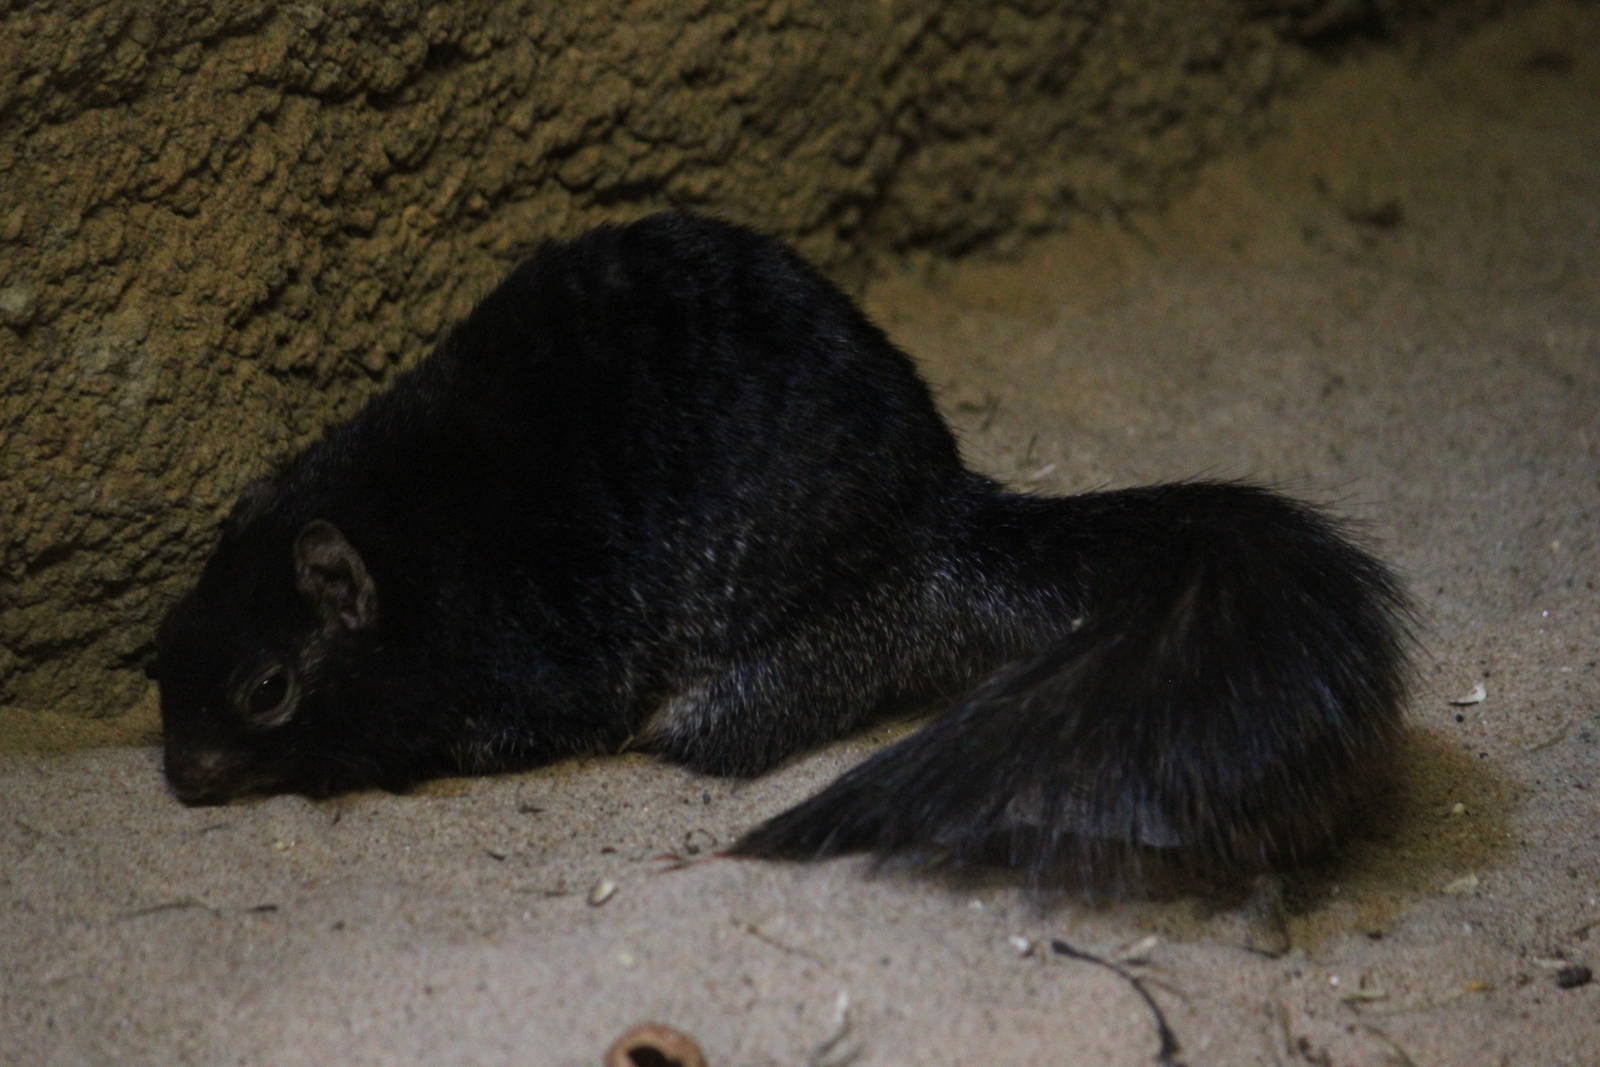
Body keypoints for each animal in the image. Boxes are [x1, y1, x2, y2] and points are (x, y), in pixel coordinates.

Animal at [152, 212, 1411, 892]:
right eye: (160, 651)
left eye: (267, 688)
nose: (180, 774)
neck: (412, 542)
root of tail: (940, 523)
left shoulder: (532, 667)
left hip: (768, 653)